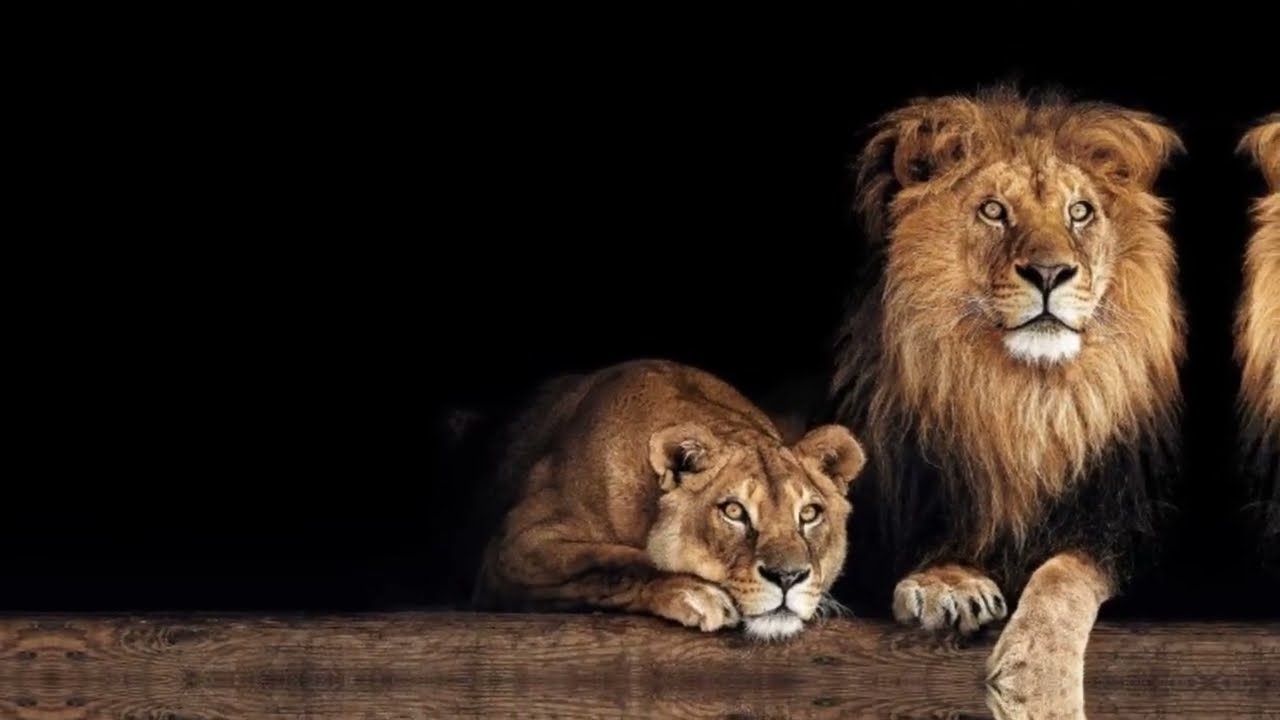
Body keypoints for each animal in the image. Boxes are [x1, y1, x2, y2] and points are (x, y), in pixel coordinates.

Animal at [472, 358, 866, 642]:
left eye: (810, 514)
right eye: (734, 511)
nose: (788, 577)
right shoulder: (514, 545)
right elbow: (615, 562)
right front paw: (696, 591)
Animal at [823, 87, 1186, 716]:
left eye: (1080, 212)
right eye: (993, 211)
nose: (1049, 272)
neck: (1022, 399)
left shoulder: (1122, 526)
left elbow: (1064, 572)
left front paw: (1034, 669)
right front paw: (948, 585)